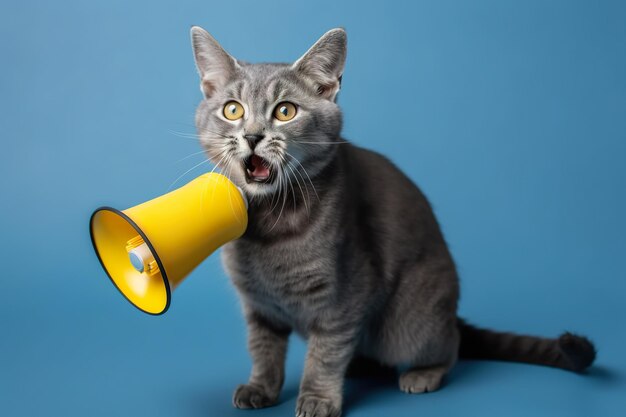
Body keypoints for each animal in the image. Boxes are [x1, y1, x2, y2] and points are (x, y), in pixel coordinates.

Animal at [188, 26, 592, 416]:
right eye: (233, 110)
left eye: (286, 111)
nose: (253, 135)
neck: (270, 221)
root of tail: (451, 313)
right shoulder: (259, 305)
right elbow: (263, 349)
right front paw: (260, 388)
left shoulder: (346, 295)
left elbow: (325, 353)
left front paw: (318, 398)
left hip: (410, 324)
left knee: (450, 346)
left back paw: (422, 373)